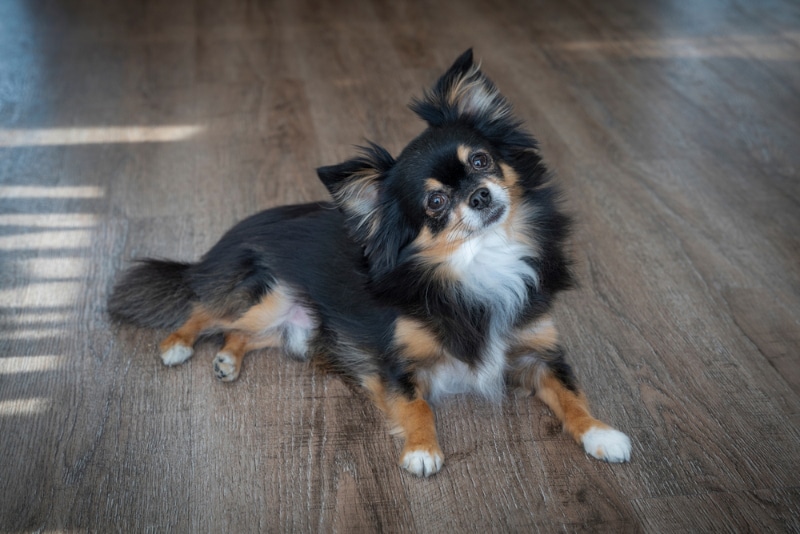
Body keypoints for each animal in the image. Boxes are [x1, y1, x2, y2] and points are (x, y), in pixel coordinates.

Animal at [108, 49, 632, 478]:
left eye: (482, 161)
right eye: (435, 203)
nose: (480, 195)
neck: (478, 263)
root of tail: (219, 245)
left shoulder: (538, 352)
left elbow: (571, 393)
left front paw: (600, 432)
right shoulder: (394, 364)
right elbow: (416, 406)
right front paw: (422, 451)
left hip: (293, 325)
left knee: (238, 332)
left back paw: (227, 360)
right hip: (269, 293)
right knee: (204, 311)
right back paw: (178, 345)